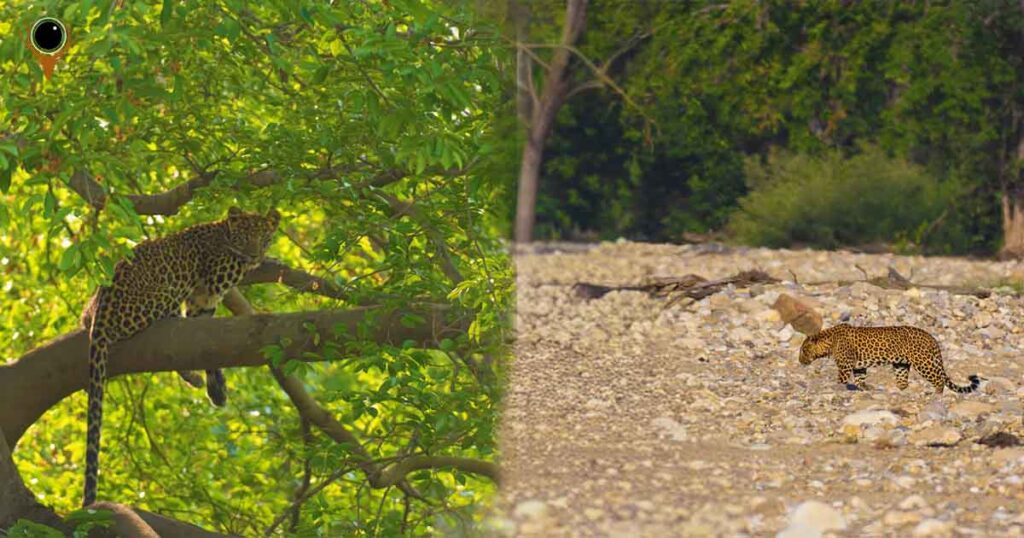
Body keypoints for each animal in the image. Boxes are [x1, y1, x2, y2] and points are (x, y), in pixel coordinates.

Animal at [79, 207, 279, 507]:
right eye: (246, 237)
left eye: (264, 238)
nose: (256, 253)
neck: (222, 231)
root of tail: (102, 313)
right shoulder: (216, 278)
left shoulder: (201, 302)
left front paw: (217, 388)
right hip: (167, 291)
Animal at [798, 323, 980, 394]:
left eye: (803, 350)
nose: (800, 361)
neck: (829, 341)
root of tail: (931, 337)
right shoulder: (858, 366)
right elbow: (860, 380)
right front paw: (865, 389)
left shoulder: (844, 366)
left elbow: (841, 381)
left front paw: (838, 389)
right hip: (901, 365)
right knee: (904, 383)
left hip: (923, 362)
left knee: (939, 379)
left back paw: (937, 394)